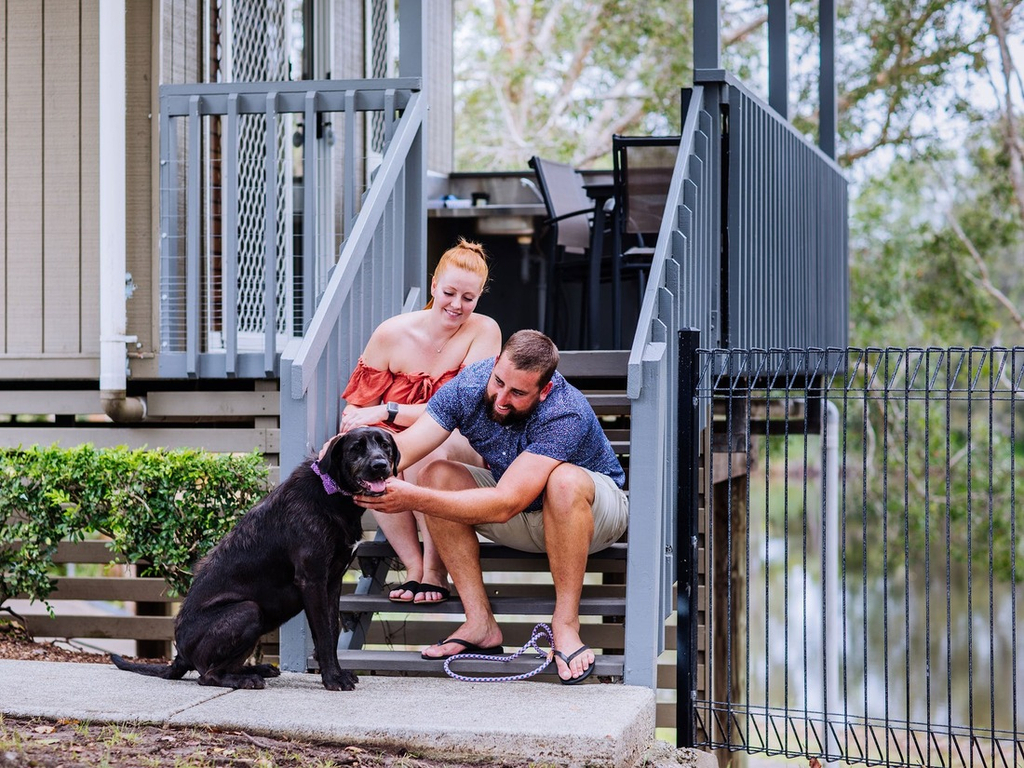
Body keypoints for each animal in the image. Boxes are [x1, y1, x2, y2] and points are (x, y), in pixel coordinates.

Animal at [110, 428, 397, 692]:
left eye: (385, 445)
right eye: (356, 448)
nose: (380, 466)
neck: (331, 493)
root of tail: (180, 655)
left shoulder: (333, 581)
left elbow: (333, 630)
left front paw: (337, 673)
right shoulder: (312, 581)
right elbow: (324, 636)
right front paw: (332, 679)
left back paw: (255, 669)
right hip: (247, 611)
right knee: (207, 675)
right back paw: (245, 679)